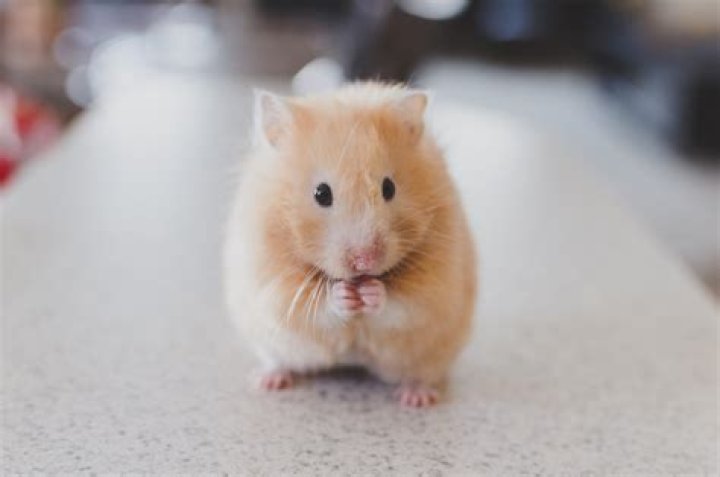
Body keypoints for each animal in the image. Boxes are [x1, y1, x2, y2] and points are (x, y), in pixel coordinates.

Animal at [224, 82, 477, 407]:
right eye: (321, 193)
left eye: (389, 188)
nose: (365, 261)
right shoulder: (273, 282)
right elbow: (312, 305)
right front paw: (344, 295)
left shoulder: (434, 286)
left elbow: (403, 303)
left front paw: (371, 292)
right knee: (277, 360)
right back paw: (267, 381)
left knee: (422, 374)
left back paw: (416, 398)